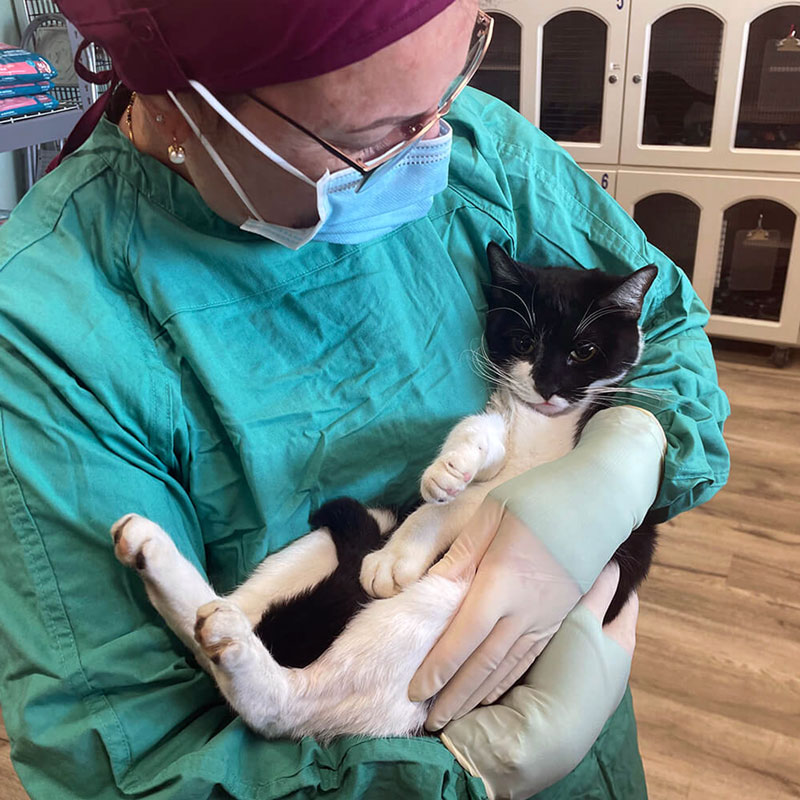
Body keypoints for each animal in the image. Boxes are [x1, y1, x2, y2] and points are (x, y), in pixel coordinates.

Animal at [114, 241, 664, 740]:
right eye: (525, 343)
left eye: (584, 351)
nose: (548, 386)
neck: (539, 429)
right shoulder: (498, 435)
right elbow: (472, 447)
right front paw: (449, 469)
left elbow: (473, 501)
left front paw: (401, 552)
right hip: (338, 542)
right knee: (240, 617)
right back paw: (161, 560)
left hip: (444, 607)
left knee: (285, 705)